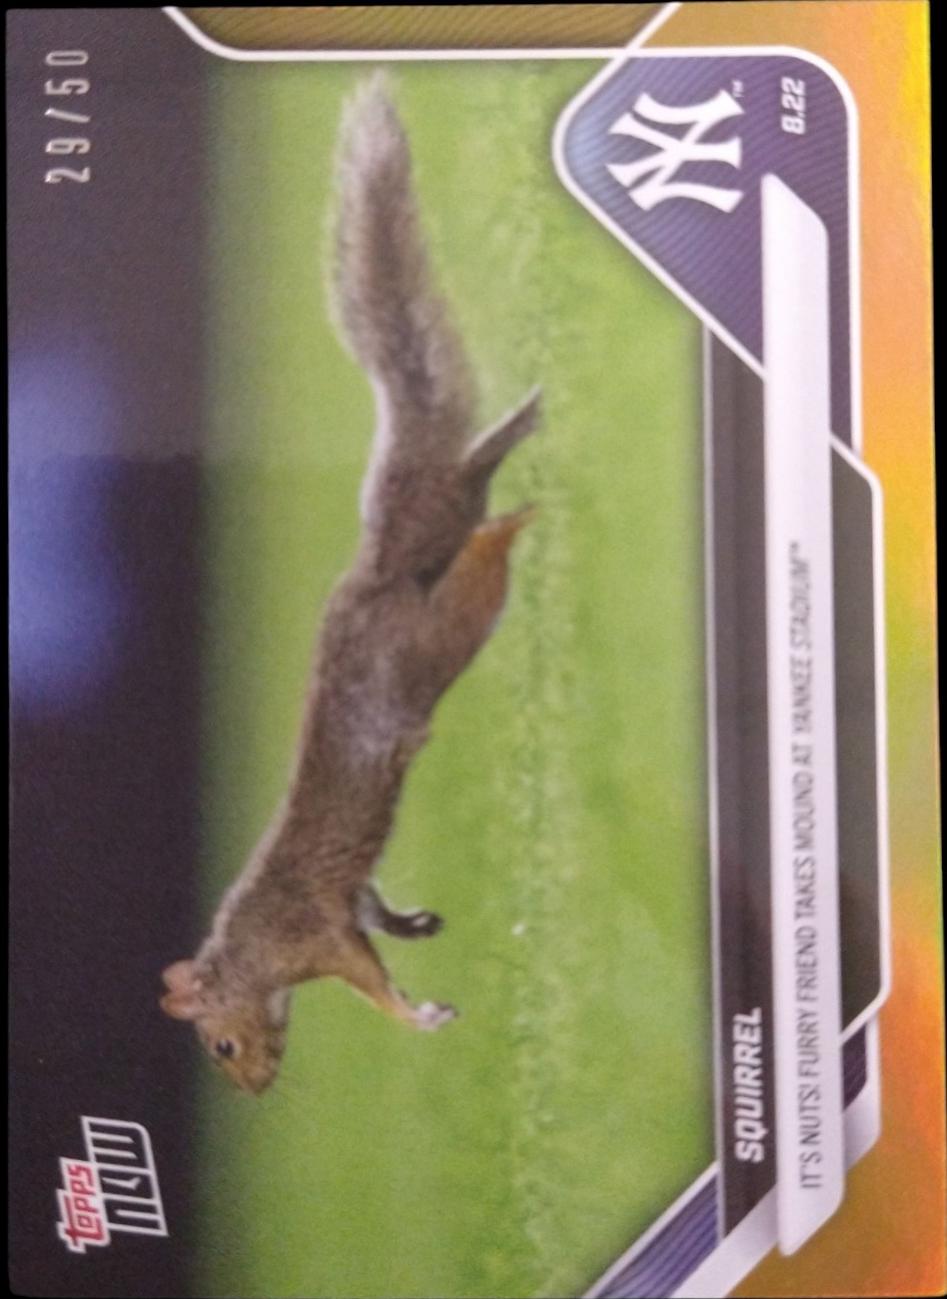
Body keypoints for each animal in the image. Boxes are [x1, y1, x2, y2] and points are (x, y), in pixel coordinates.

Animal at [159, 76, 541, 1095]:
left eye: (219, 1044)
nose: (256, 1087)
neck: (251, 952)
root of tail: (373, 579)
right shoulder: (347, 904)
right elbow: (376, 908)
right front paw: (417, 921)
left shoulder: (316, 936)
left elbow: (370, 977)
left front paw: (418, 1015)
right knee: (466, 499)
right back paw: (517, 438)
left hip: (439, 633)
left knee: (476, 551)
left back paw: (515, 515)